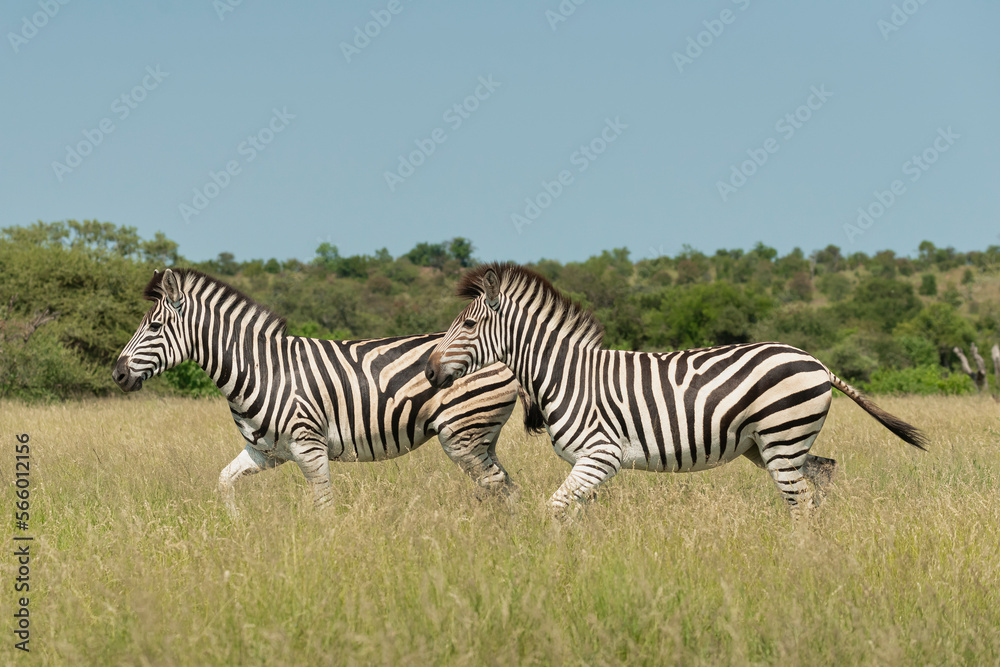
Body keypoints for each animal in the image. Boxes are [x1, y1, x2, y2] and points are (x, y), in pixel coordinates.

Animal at [113, 268, 537, 515]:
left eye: (153, 327)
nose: (117, 373)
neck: (261, 369)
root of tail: (505, 358)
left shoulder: (309, 448)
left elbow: (324, 508)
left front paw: (327, 557)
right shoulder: (265, 452)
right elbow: (224, 482)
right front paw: (237, 529)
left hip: (461, 435)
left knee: (499, 488)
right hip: (482, 438)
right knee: (507, 487)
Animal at [425, 263, 928, 518]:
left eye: (468, 326)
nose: (429, 373)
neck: (566, 374)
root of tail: (817, 361)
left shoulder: (601, 455)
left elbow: (555, 509)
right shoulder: (587, 464)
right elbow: (577, 513)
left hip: (782, 437)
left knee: (801, 498)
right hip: (769, 444)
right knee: (821, 476)